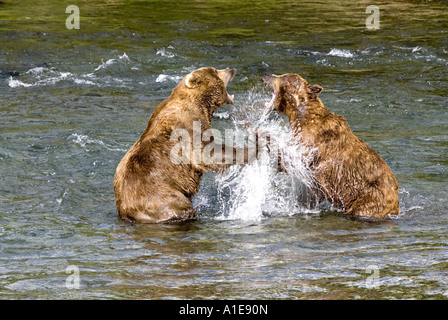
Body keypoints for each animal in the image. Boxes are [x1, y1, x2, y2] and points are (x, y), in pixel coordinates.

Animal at [115, 66, 256, 224]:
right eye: (215, 71)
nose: (231, 68)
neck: (201, 104)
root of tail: (125, 212)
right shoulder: (189, 126)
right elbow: (207, 153)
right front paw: (252, 150)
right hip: (163, 197)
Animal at [260, 73, 400, 219]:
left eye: (283, 77)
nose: (265, 74)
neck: (300, 115)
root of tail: (396, 202)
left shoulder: (314, 142)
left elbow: (294, 158)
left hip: (370, 198)